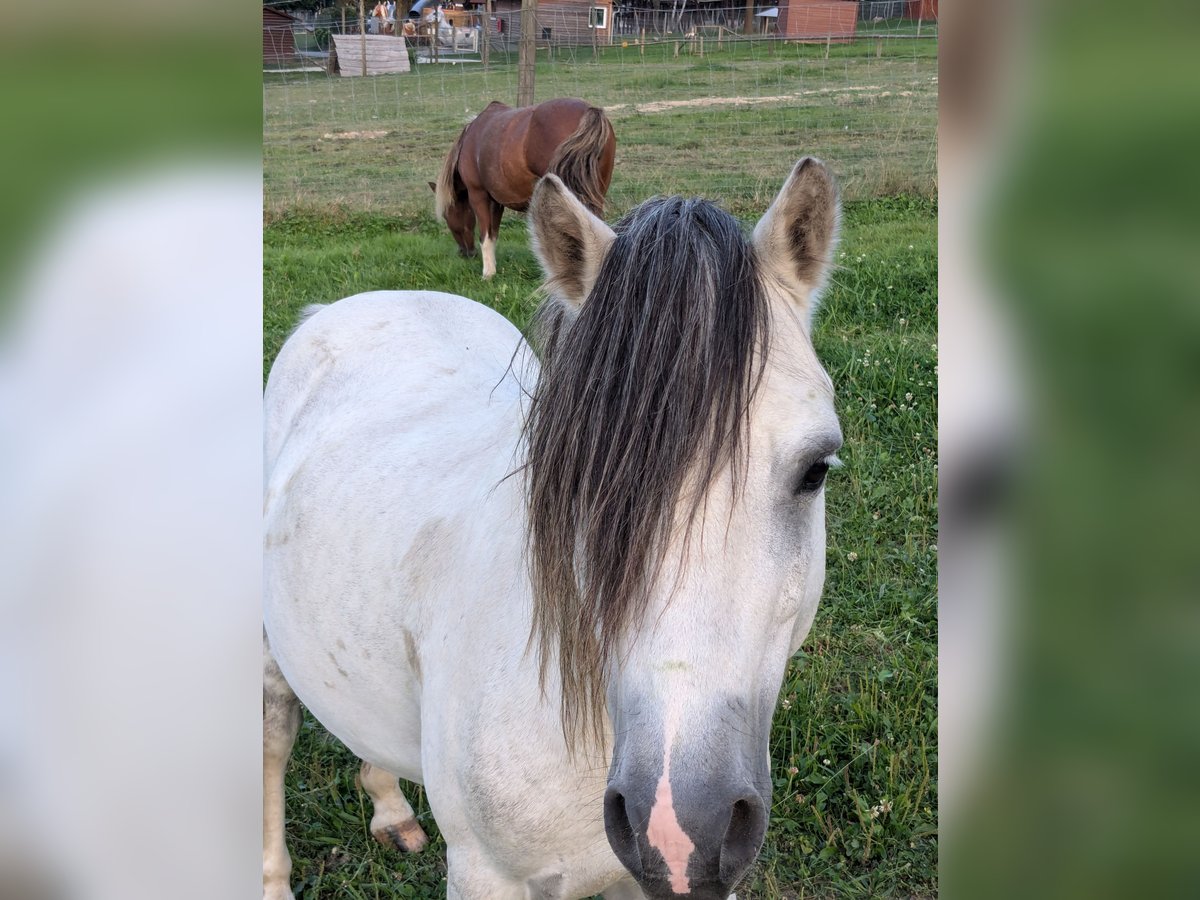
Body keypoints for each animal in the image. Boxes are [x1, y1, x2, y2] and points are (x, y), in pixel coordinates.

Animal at [434, 98, 619, 278]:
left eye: (447, 216)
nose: (466, 253)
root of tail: (589, 110)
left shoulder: (478, 195)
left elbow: (485, 234)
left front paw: (488, 273)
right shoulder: (497, 202)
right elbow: (493, 233)